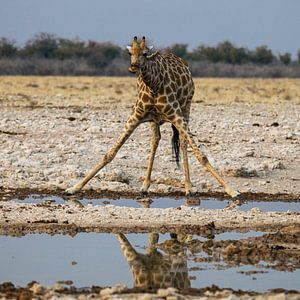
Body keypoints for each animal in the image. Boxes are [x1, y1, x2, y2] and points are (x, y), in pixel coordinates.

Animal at [65, 36, 239, 198]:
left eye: (145, 53)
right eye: (129, 53)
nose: (134, 66)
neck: (153, 84)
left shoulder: (176, 114)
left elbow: (201, 155)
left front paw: (232, 190)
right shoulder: (136, 115)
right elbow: (110, 153)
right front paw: (74, 188)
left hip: (186, 107)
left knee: (183, 141)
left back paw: (188, 187)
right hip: (154, 120)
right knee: (155, 140)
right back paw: (145, 186)